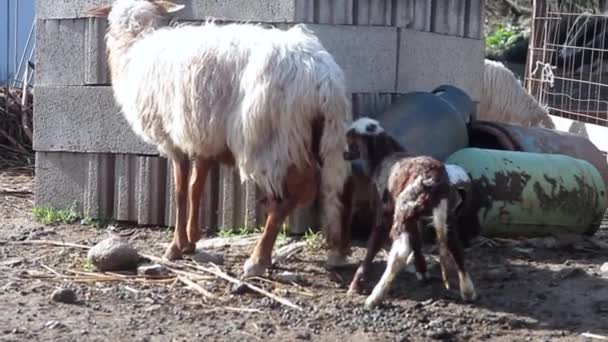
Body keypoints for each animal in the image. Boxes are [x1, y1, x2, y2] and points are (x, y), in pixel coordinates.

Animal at [84, 0, 352, 278]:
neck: (135, 46)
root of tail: (323, 77)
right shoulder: (203, 139)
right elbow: (196, 188)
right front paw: (191, 240)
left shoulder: (173, 139)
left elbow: (180, 192)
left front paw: (176, 247)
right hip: (323, 136)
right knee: (335, 186)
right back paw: (338, 251)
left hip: (272, 138)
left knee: (287, 197)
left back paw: (258, 259)